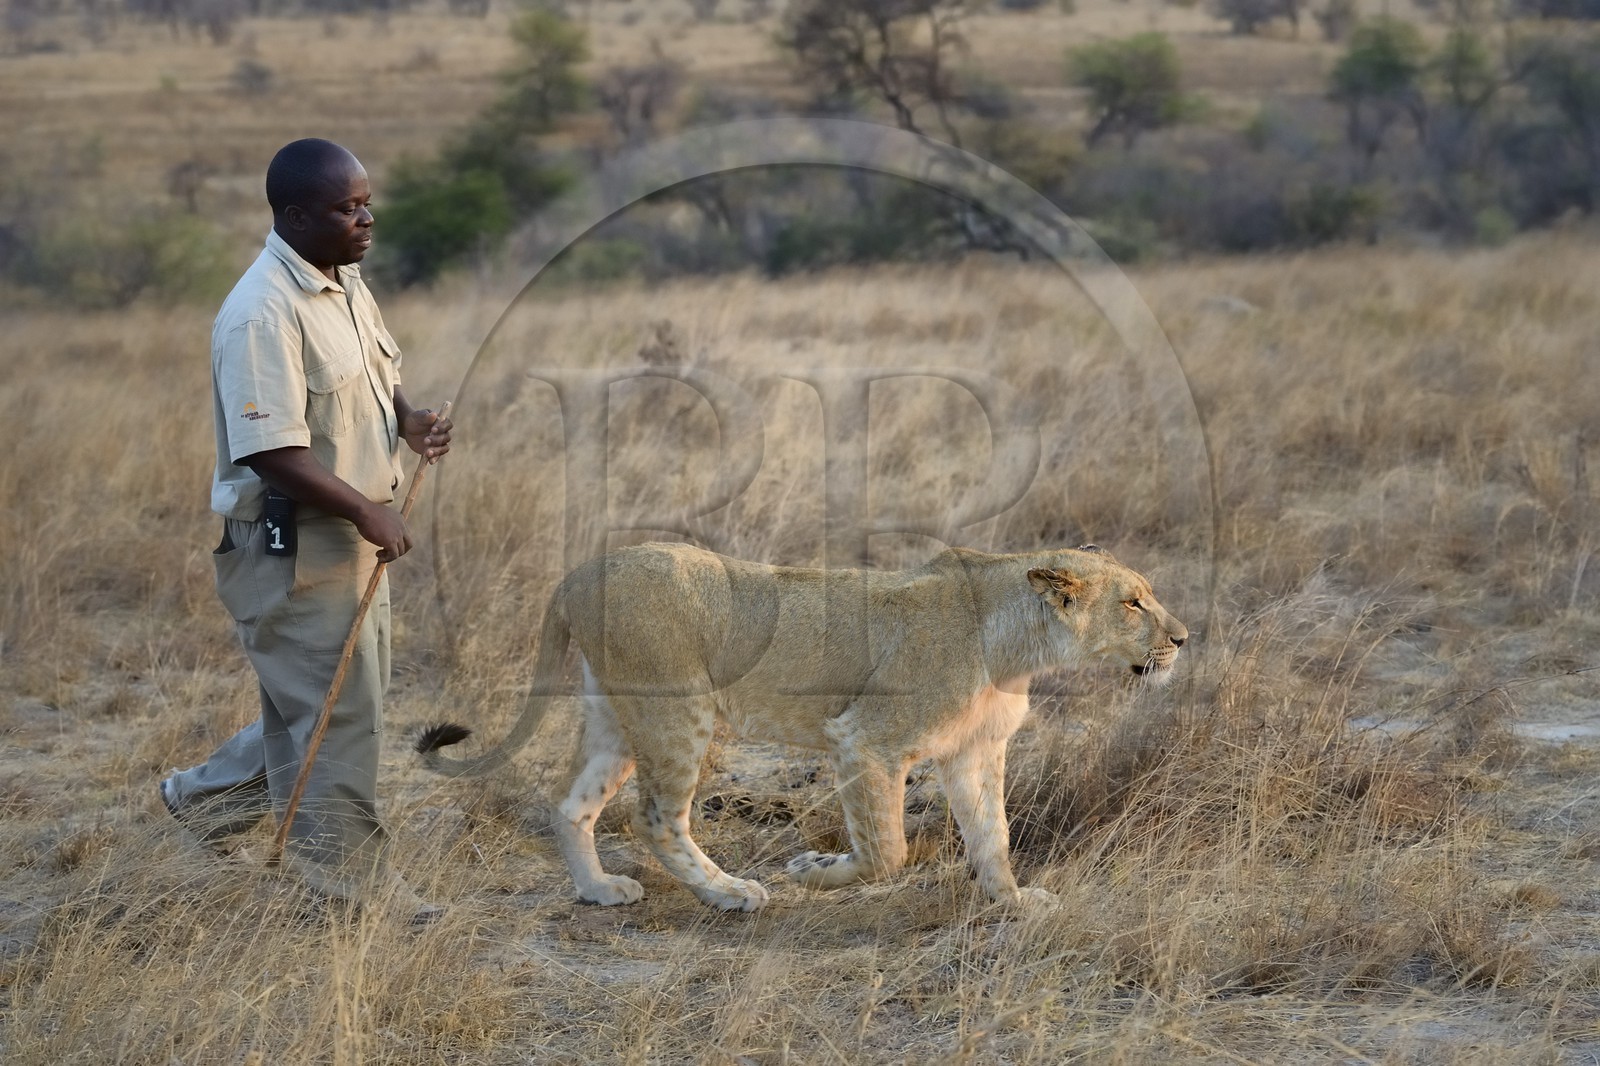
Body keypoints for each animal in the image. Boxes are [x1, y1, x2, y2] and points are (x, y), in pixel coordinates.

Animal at [417, 542, 1187, 911]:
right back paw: (729, 893)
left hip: (615, 715)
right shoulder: (866, 740)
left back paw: (600, 891)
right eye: (1134, 603)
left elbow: (991, 836)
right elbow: (887, 853)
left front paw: (1016, 903)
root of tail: (575, 575)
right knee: (655, 819)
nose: (1183, 639)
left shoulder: (974, 751)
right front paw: (813, 873)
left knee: (573, 804)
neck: (1019, 647)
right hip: (680, 712)